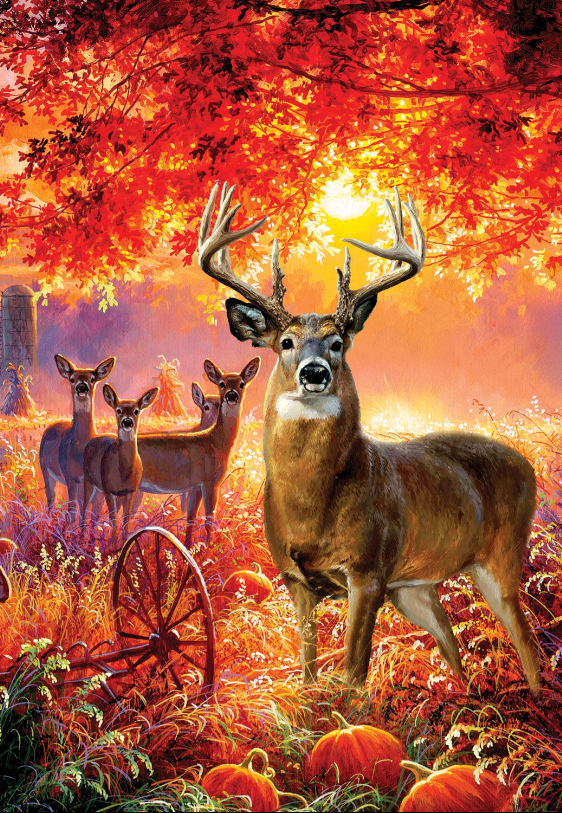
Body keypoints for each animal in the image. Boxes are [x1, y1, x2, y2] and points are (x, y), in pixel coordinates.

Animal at [39, 355, 116, 521]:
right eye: (72, 379)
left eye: (92, 379)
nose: (82, 387)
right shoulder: (71, 477)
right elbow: (74, 512)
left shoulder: (96, 486)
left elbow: (93, 515)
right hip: (45, 470)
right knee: (51, 500)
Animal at [82, 384, 159, 545]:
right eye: (118, 410)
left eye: (136, 411)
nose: (127, 422)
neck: (124, 473)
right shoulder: (109, 489)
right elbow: (113, 519)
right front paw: (113, 546)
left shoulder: (130, 491)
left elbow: (126, 520)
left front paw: (125, 544)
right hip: (89, 481)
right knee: (85, 509)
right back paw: (80, 540)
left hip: (102, 490)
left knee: (95, 513)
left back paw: (92, 542)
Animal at [137, 357, 260, 542]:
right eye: (221, 384)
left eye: (242, 383)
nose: (231, 395)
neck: (216, 442)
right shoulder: (210, 481)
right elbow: (209, 520)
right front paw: (208, 547)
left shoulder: (195, 485)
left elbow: (191, 518)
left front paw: (188, 546)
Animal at [196, 182, 541, 698]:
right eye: (285, 343)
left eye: (338, 342)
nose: (314, 372)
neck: (311, 509)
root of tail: (528, 465)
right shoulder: (294, 578)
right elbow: (308, 669)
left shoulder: (368, 570)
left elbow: (353, 675)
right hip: (415, 587)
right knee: (452, 644)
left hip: (500, 558)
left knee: (528, 644)